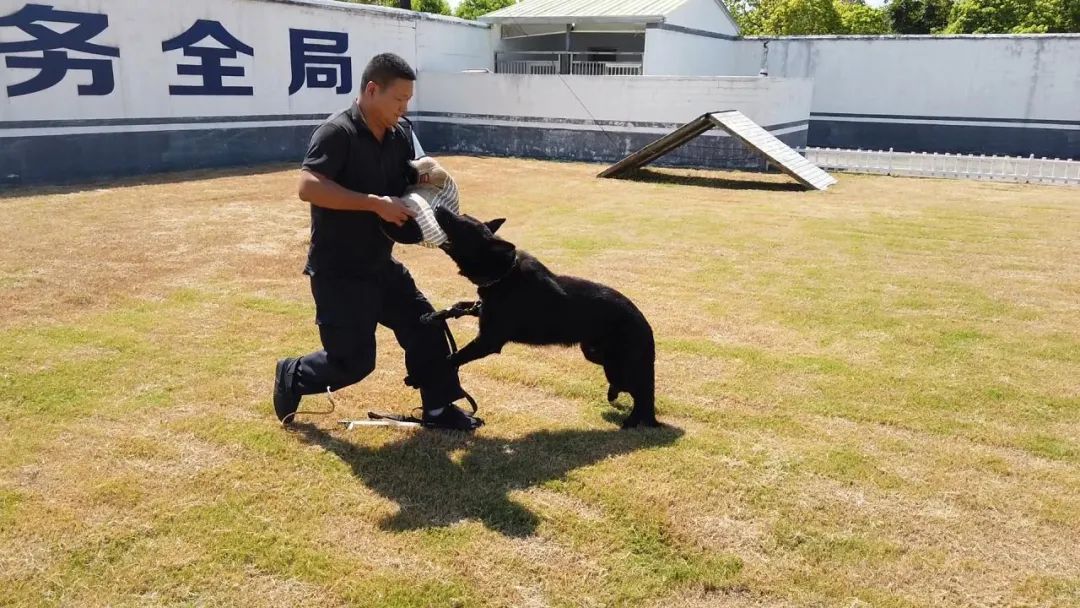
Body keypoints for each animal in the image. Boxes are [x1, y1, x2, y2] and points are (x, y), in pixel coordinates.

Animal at [431, 206, 660, 429]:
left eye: (462, 225)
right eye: (463, 215)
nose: (438, 207)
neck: (503, 273)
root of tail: (645, 324)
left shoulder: (488, 341)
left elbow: (453, 358)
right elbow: (463, 306)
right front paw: (437, 314)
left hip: (619, 365)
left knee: (642, 394)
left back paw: (633, 421)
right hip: (596, 355)